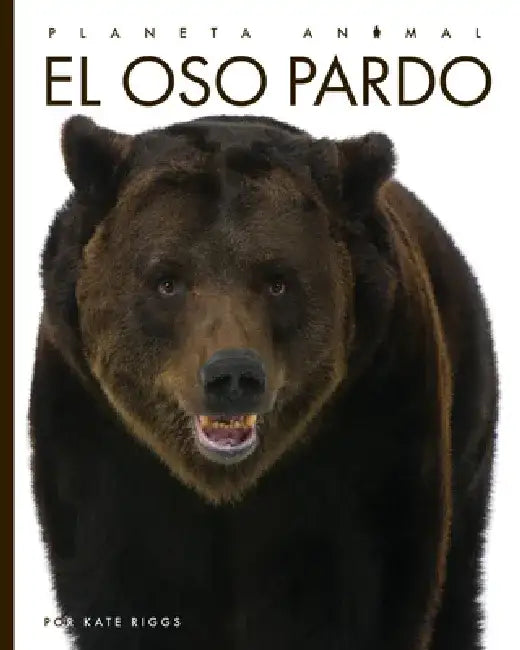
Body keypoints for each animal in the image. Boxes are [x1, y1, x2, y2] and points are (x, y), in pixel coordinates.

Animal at [29, 114, 497, 650]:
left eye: (278, 280)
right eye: (167, 280)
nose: (232, 374)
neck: (225, 486)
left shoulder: (369, 438)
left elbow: (364, 594)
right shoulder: (104, 448)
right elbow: (127, 589)